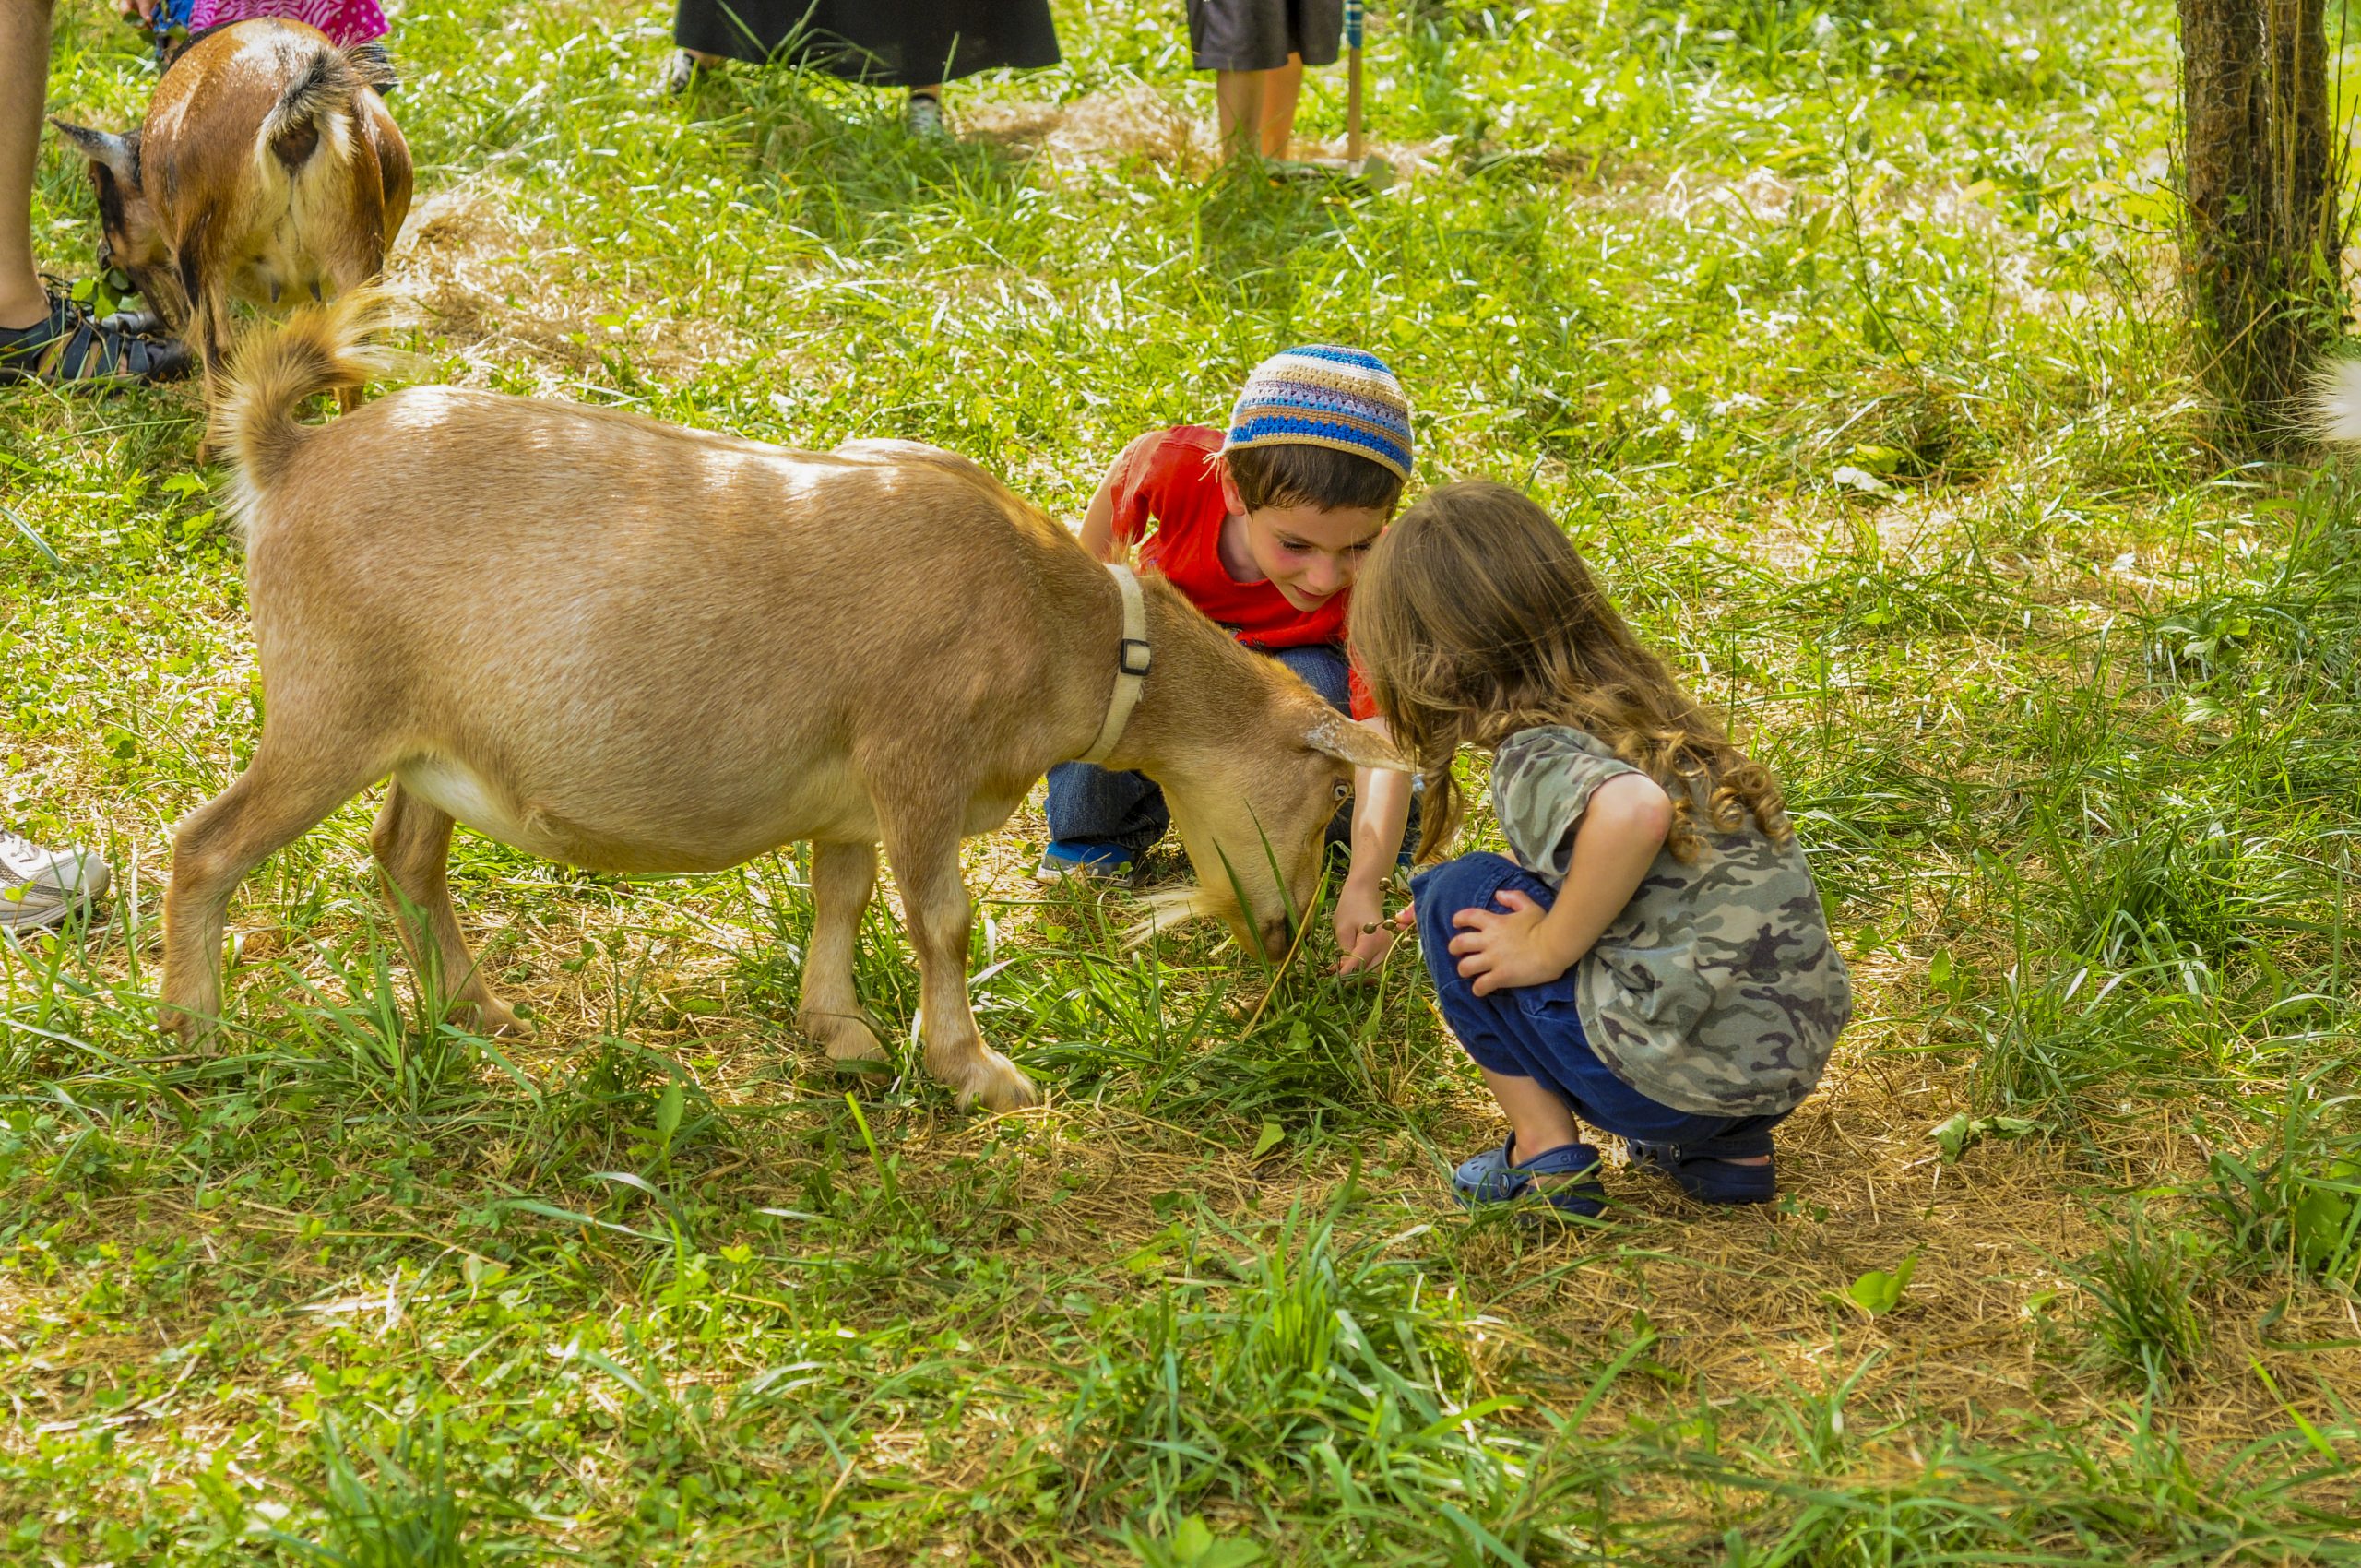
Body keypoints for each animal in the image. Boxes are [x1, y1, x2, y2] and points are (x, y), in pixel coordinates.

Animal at [52, 18, 410, 445]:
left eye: (96, 185)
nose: (104, 258)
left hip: (201, 255)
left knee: (218, 350)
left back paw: (214, 447)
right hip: (357, 249)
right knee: (355, 354)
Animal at [166, 293, 1406, 1114]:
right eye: (1323, 794)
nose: (1290, 939)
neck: (1058, 619)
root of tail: (290, 459)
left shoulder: (853, 789)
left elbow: (841, 894)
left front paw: (840, 1031)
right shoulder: (917, 757)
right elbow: (944, 918)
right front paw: (975, 1070)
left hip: (429, 739)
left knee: (405, 856)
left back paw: (480, 1012)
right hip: (328, 710)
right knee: (208, 842)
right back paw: (193, 1029)